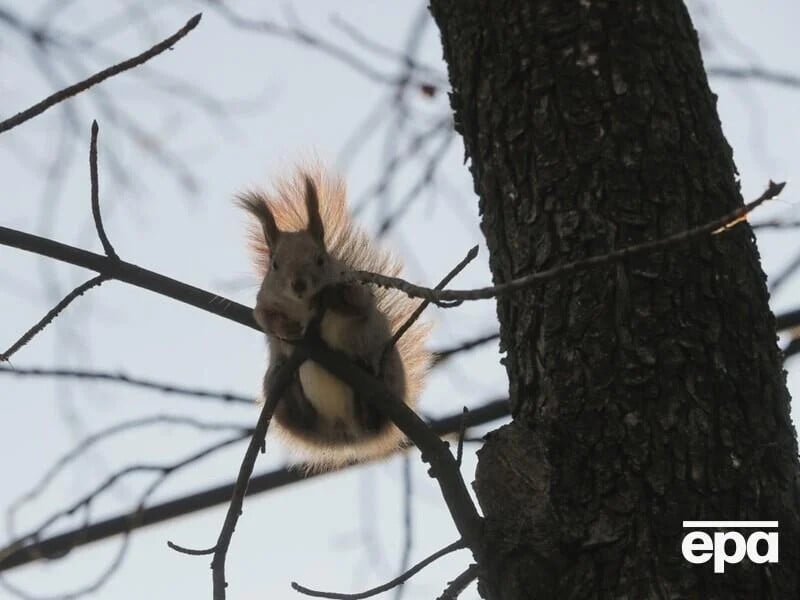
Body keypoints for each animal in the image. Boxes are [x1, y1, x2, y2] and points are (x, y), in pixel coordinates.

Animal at [238, 165, 432, 468]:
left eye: (321, 259)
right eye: (274, 265)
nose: (298, 284)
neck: (305, 305)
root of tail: (344, 432)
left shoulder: (359, 294)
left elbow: (358, 304)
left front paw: (334, 298)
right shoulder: (265, 300)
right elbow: (263, 317)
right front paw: (287, 328)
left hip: (390, 371)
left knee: (372, 420)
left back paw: (366, 398)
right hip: (277, 394)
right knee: (299, 415)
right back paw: (292, 391)